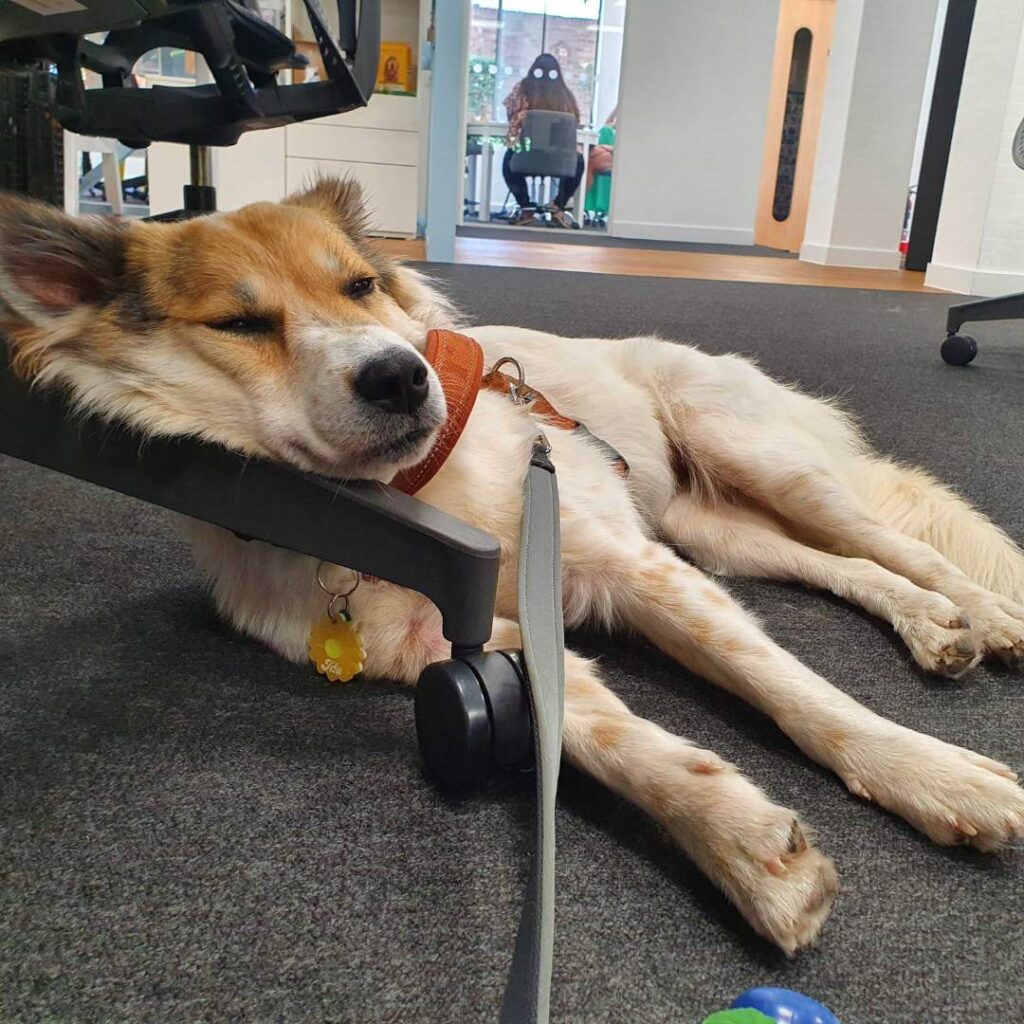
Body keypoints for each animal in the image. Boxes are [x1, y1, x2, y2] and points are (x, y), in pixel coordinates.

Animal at [2, 180, 1024, 954]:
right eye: (240, 322)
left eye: (361, 286)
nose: (400, 377)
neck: (410, 496)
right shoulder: (484, 637)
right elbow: (606, 742)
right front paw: (745, 847)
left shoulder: (637, 569)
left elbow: (799, 695)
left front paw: (930, 775)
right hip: (715, 528)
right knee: (839, 565)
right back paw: (937, 627)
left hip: (755, 460)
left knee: (897, 543)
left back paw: (986, 614)